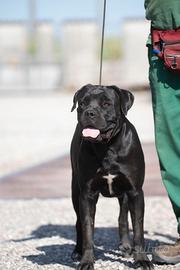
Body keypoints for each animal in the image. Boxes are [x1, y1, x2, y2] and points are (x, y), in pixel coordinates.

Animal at [70, 84, 153, 270]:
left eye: (106, 104)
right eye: (82, 103)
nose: (89, 113)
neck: (106, 147)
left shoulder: (135, 192)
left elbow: (138, 228)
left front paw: (141, 259)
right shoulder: (87, 194)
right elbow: (87, 228)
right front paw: (86, 260)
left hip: (124, 194)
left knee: (122, 218)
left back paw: (126, 246)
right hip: (75, 191)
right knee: (78, 221)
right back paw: (77, 251)